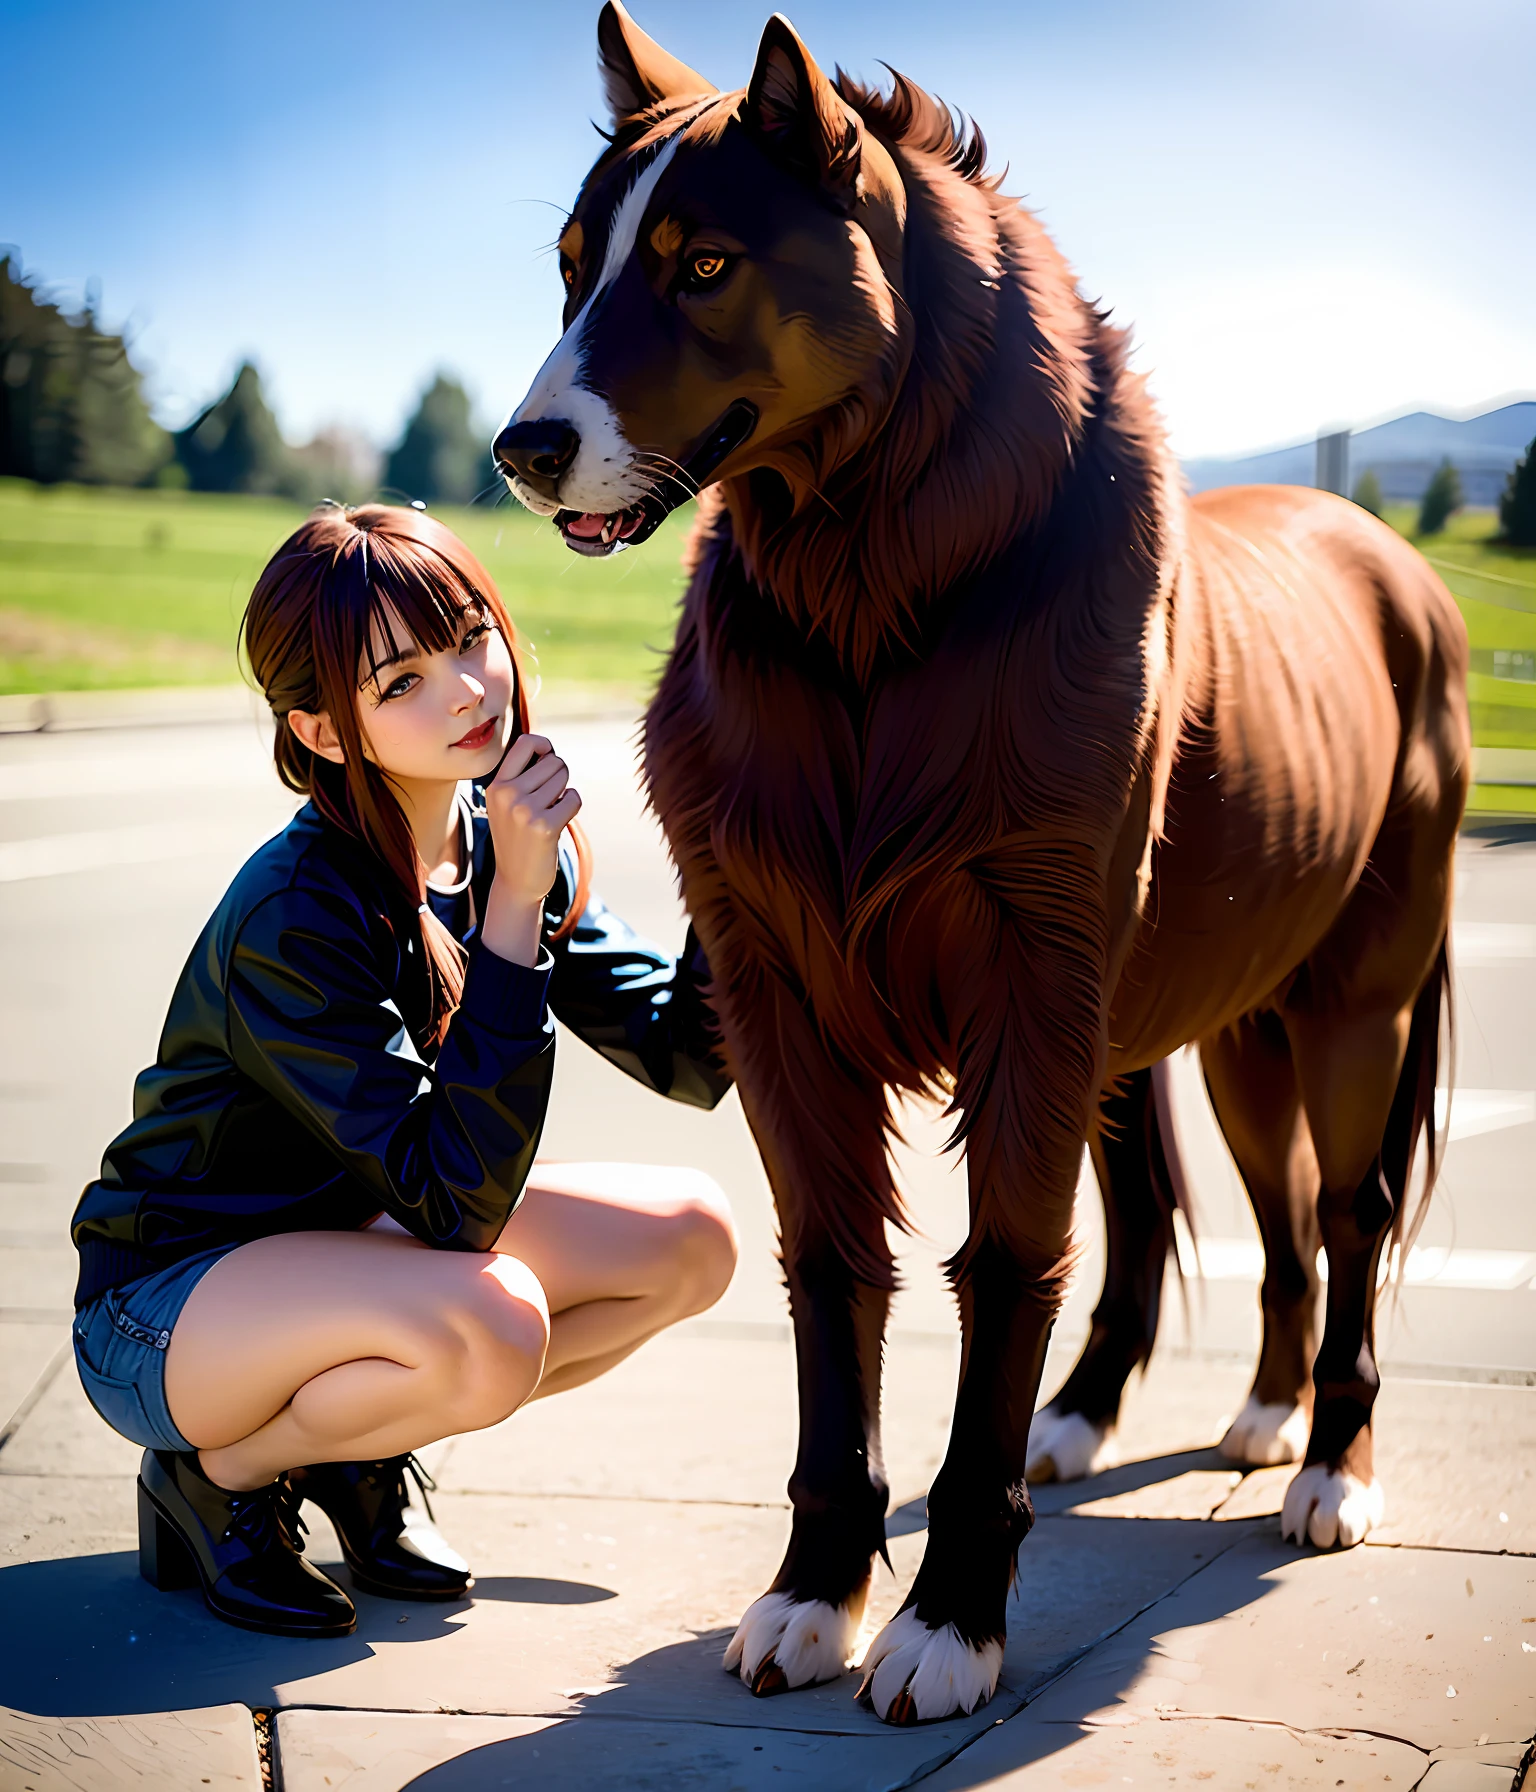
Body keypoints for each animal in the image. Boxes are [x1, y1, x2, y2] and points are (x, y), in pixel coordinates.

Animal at [498, 7, 1469, 1727]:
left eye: (702, 264)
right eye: (570, 270)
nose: (524, 449)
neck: (875, 606)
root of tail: (1393, 563)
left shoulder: (1034, 982)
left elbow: (1008, 1264)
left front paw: (949, 1614)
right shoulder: (781, 999)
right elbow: (835, 1270)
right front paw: (817, 1590)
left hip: (1349, 1005)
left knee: (1346, 1211)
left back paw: (1331, 1466)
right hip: (1219, 1023)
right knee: (1232, 1207)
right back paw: (1218, 1415)